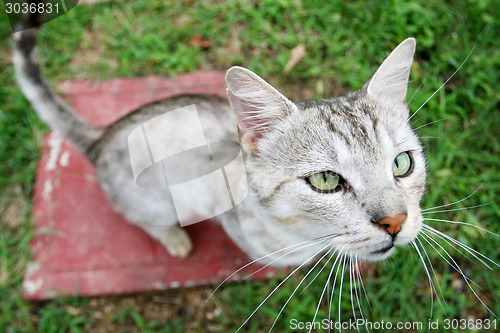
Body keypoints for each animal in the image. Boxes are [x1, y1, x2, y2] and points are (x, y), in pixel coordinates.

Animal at [13, 12, 424, 268]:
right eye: (326, 180)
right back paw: (173, 238)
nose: (395, 221)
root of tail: (104, 134)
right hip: (152, 203)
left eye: (402, 163)